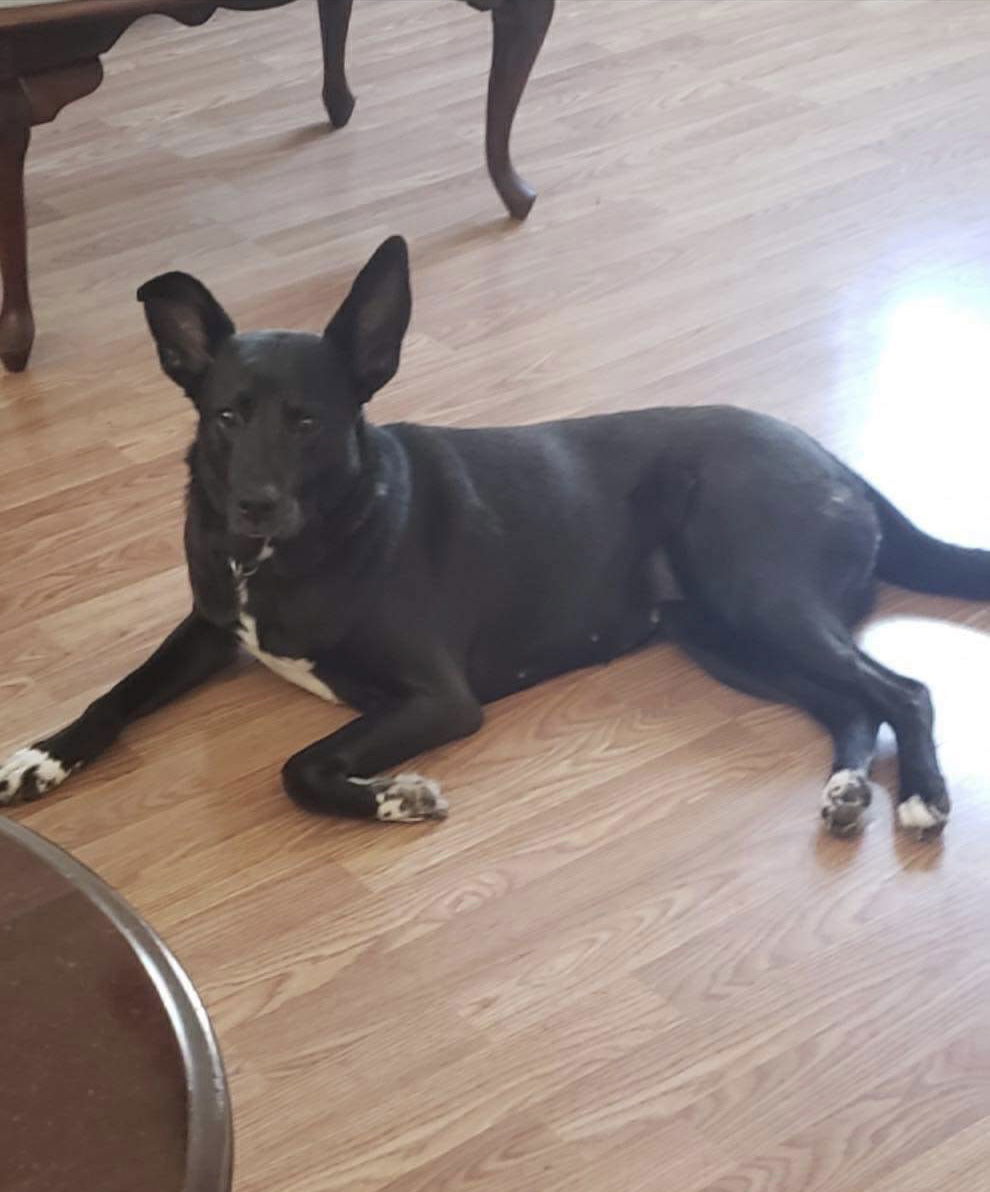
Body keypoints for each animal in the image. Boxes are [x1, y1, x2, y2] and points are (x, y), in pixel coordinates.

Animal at [1, 237, 990, 834]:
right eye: (227, 416)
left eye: (311, 422)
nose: (254, 504)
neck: (287, 553)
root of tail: (834, 459)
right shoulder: (211, 625)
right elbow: (119, 693)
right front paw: (44, 755)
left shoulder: (440, 699)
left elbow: (299, 766)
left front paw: (393, 796)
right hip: (722, 638)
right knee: (852, 703)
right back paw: (849, 787)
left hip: (759, 595)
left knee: (903, 690)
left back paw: (922, 797)